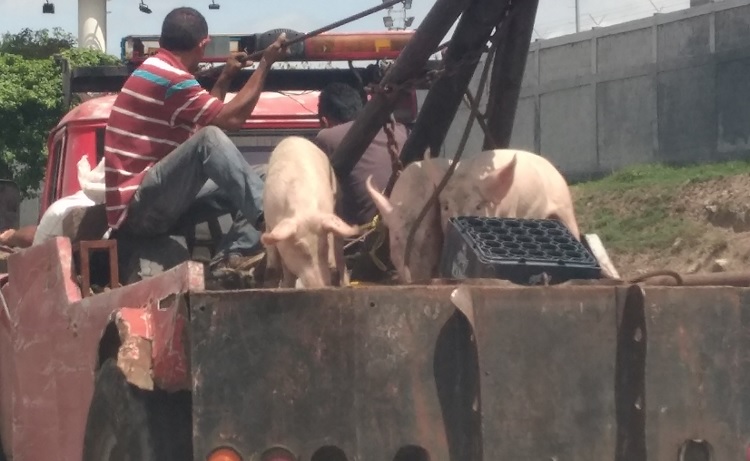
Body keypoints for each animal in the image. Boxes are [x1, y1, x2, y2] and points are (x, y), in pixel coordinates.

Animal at [260, 136, 362, 288]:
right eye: (300, 247)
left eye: (324, 246)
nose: (320, 286)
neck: (304, 208)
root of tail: (295, 137)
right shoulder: (270, 219)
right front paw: (284, 286)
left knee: (340, 252)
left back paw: (345, 284)